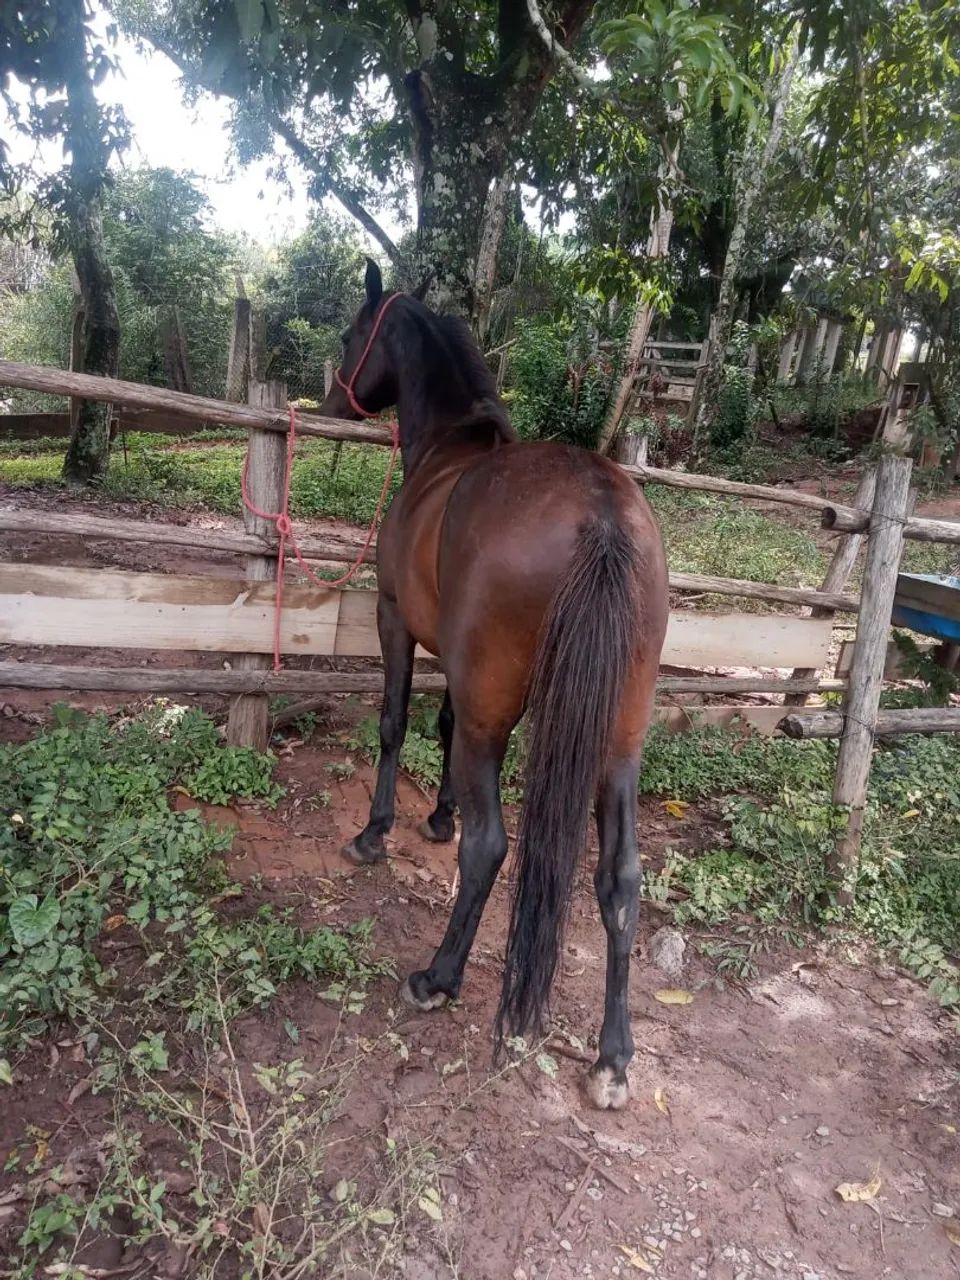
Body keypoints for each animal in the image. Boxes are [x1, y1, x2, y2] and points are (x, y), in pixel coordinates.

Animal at [319, 260, 669, 1109]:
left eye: (352, 333)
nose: (333, 398)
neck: (450, 448)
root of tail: (603, 514)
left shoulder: (395, 621)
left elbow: (394, 722)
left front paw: (377, 831)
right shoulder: (458, 663)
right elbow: (440, 729)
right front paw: (437, 815)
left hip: (499, 716)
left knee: (492, 848)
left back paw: (438, 976)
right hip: (617, 745)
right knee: (621, 882)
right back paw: (613, 1059)